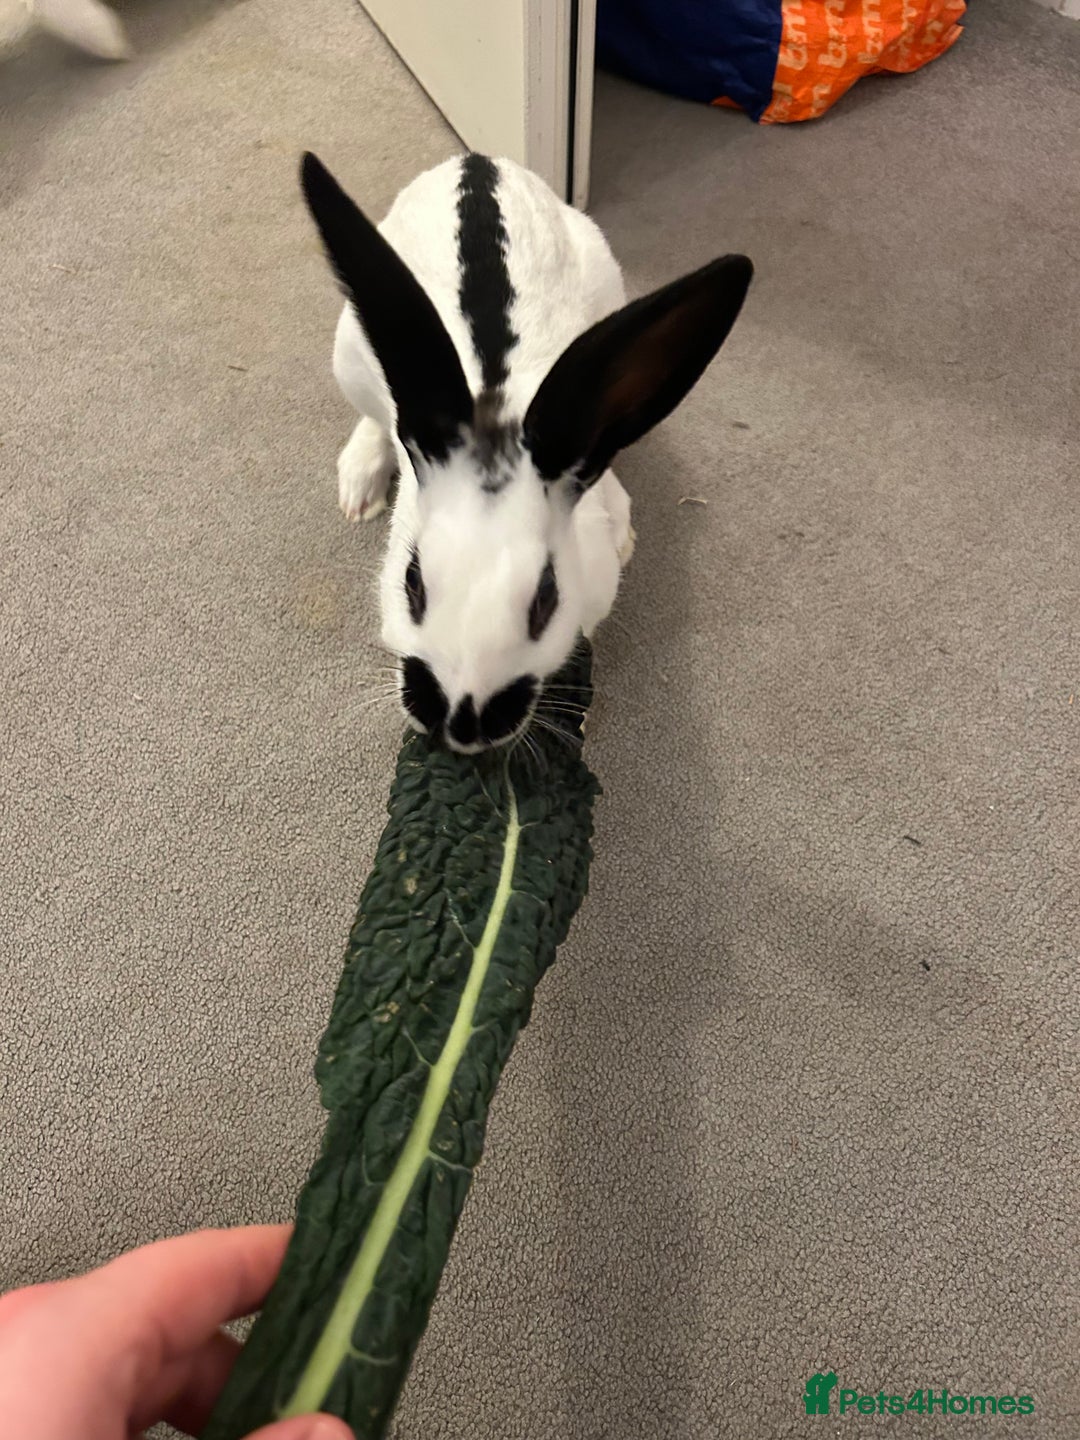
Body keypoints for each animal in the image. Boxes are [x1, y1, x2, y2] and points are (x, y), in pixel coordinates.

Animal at [300, 151, 752, 753]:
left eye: (545, 599)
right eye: (412, 583)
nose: (462, 726)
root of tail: (477, 161)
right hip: (349, 351)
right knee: (374, 417)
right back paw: (360, 489)